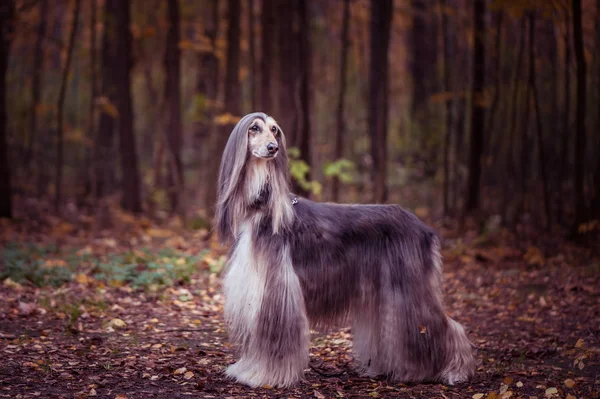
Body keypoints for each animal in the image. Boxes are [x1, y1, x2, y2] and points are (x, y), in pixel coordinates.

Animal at [218, 111, 476, 388]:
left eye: (275, 130)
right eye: (254, 128)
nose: (272, 148)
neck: (261, 207)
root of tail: (424, 228)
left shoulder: (277, 287)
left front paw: (264, 376)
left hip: (410, 285)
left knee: (443, 325)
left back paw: (452, 370)